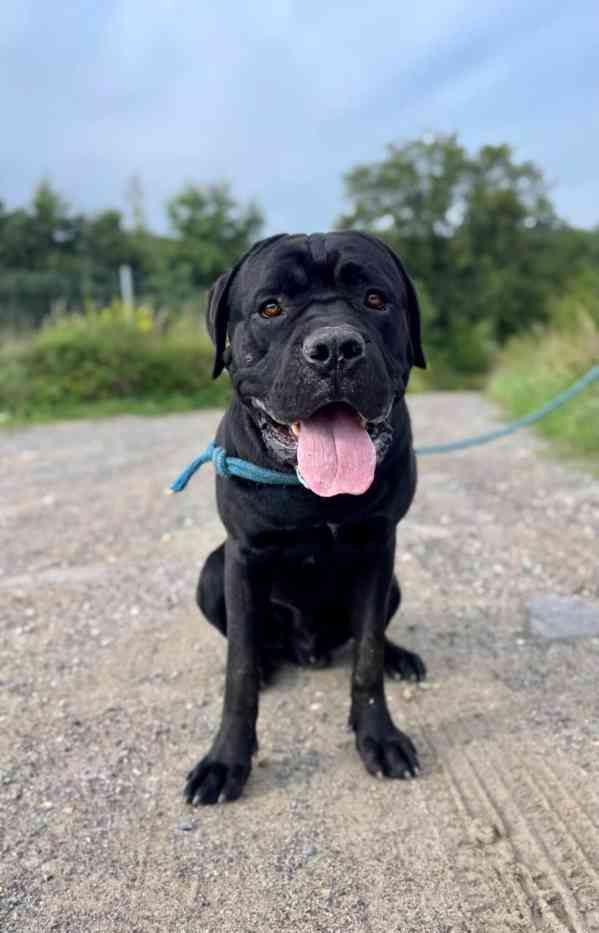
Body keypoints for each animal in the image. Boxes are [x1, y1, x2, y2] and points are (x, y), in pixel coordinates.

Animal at [185, 229, 428, 804]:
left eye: (375, 300)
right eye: (271, 307)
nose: (334, 347)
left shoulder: (379, 549)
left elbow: (366, 657)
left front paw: (379, 737)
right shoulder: (243, 556)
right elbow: (238, 671)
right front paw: (225, 762)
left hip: (394, 582)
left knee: (369, 636)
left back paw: (399, 657)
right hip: (211, 573)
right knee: (251, 644)